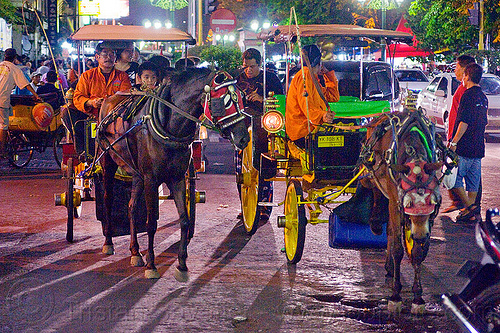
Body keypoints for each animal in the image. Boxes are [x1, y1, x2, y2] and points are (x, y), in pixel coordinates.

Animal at [95, 68, 250, 278]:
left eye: (241, 98)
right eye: (224, 102)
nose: (244, 138)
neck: (170, 127)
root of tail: (108, 99)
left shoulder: (176, 179)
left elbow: (184, 220)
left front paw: (182, 264)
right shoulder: (151, 180)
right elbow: (151, 223)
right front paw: (151, 266)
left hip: (137, 174)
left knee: (131, 207)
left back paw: (135, 252)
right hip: (108, 162)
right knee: (108, 200)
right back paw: (109, 243)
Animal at [360, 109, 446, 314]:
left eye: (431, 206)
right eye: (408, 203)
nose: (420, 235)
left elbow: (418, 252)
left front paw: (418, 297)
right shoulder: (395, 203)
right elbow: (399, 250)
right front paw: (395, 296)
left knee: (391, 231)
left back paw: (390, 266)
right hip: (373, 176)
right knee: (374, 190)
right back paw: (375, 223)